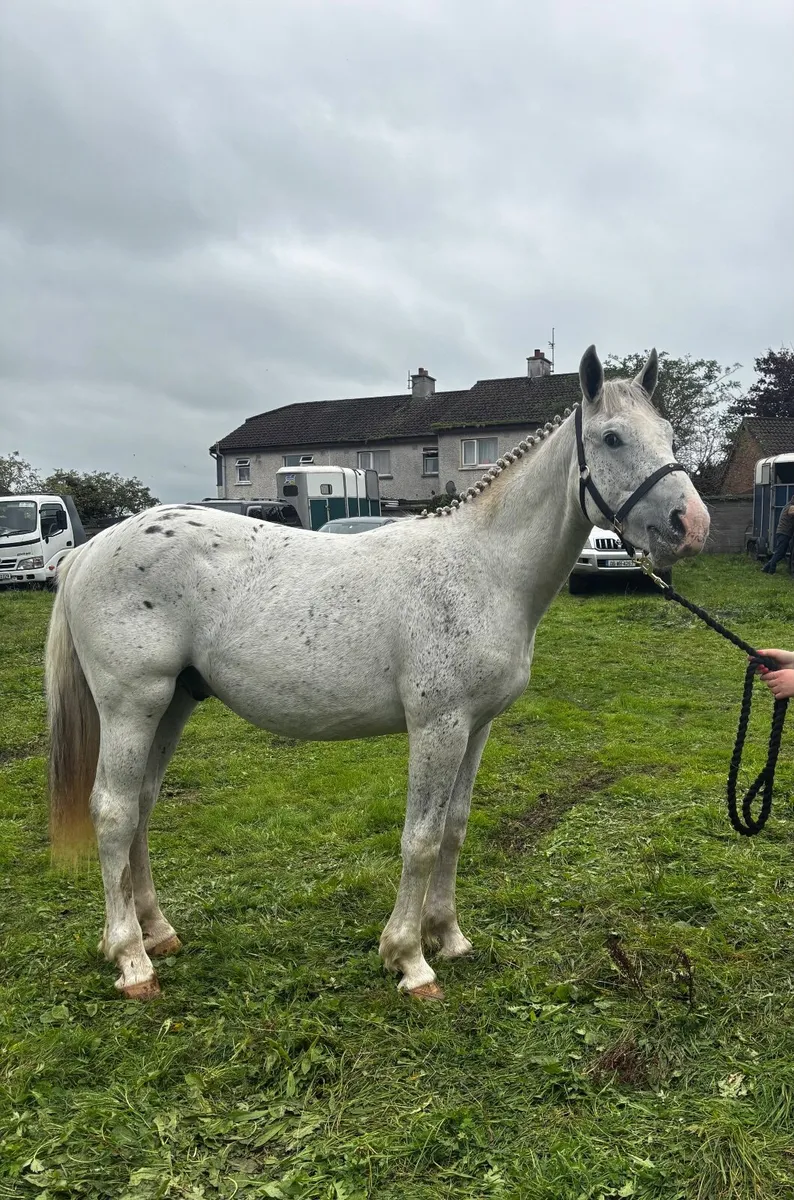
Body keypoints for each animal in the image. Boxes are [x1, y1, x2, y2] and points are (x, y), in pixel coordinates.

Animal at [45, 345, 710, 1000]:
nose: (691, 525)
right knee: (113, 811)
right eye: (613, 437)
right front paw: (410, 960)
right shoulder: (438, 726)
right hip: (132, 706)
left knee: (142, 806)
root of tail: (91, 549)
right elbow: (420, 839)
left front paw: (449, 937)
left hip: (174, 703)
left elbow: (453, 829)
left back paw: (158, 933)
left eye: (669, 434)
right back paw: (132, 960)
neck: (482, 569)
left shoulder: (477, 728)